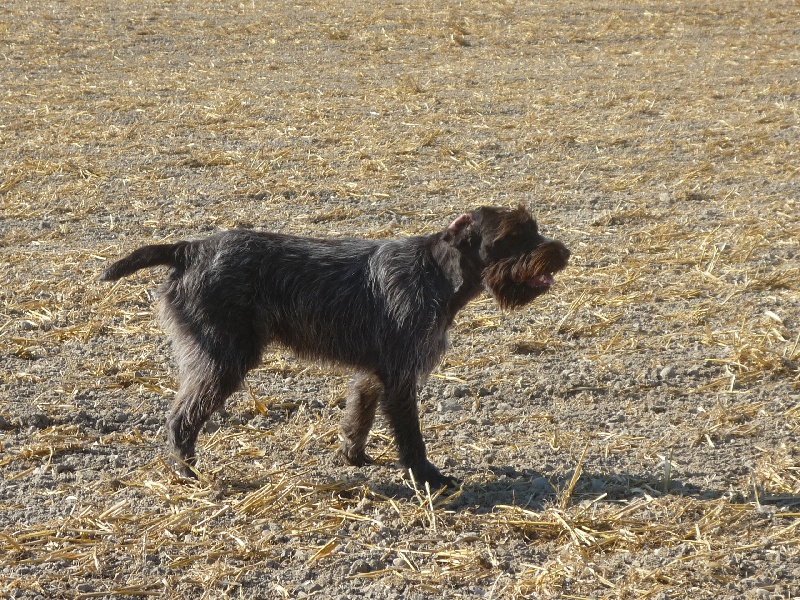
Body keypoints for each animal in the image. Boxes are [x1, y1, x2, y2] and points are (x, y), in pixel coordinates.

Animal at [101, 206, 568, 488]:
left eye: (533, 227)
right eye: (512, 235)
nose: (562, 252)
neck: (437, 272)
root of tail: (190, 249)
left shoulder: (374, 374)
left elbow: (358, 417)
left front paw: (353, 457)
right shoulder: (401, 377)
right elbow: (411, 436)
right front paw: (427, 477)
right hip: (223, 361)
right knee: (181, 418)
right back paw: (187, 472)